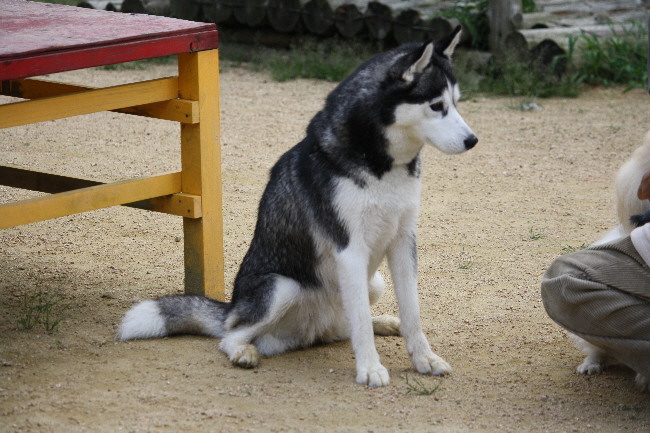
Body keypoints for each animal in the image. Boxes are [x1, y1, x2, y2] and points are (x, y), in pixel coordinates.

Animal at [118, 26, 478, 387]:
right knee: (230, 335)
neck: (381, 165)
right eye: (436, 105)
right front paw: (370, 369)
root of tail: (232, 306)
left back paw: (384, 323)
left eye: (457, 103)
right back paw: (243, 351)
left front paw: (424, 359)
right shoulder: (350, 249)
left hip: (373, 282)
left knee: (346, 326)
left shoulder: (403, 242)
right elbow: (361, 323)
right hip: (282, 287)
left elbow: (411, 314)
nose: (473, 141)